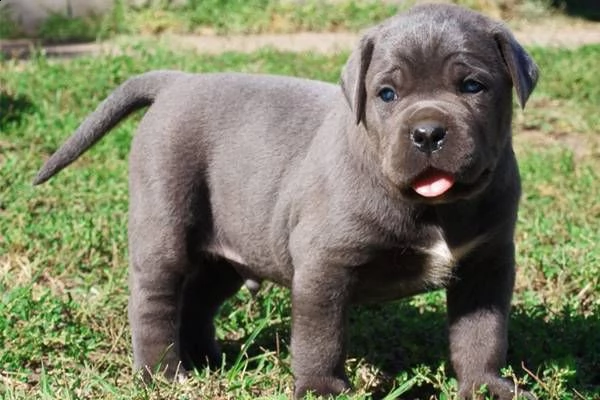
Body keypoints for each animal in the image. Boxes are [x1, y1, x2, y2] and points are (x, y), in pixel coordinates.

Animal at [32, 3, 540, 400]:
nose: (428, 132)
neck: (435, 207)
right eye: (387, 94)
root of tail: (177, 82)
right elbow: (321, 336)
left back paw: (207, 361)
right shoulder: (324, 264)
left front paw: (486, 386)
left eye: (472, 86)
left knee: (197, 298)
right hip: (165, 221)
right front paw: (321, 389)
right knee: (154, 298)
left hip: (227, 251)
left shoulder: (486, 264)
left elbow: (482, 332)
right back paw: (162, 373)